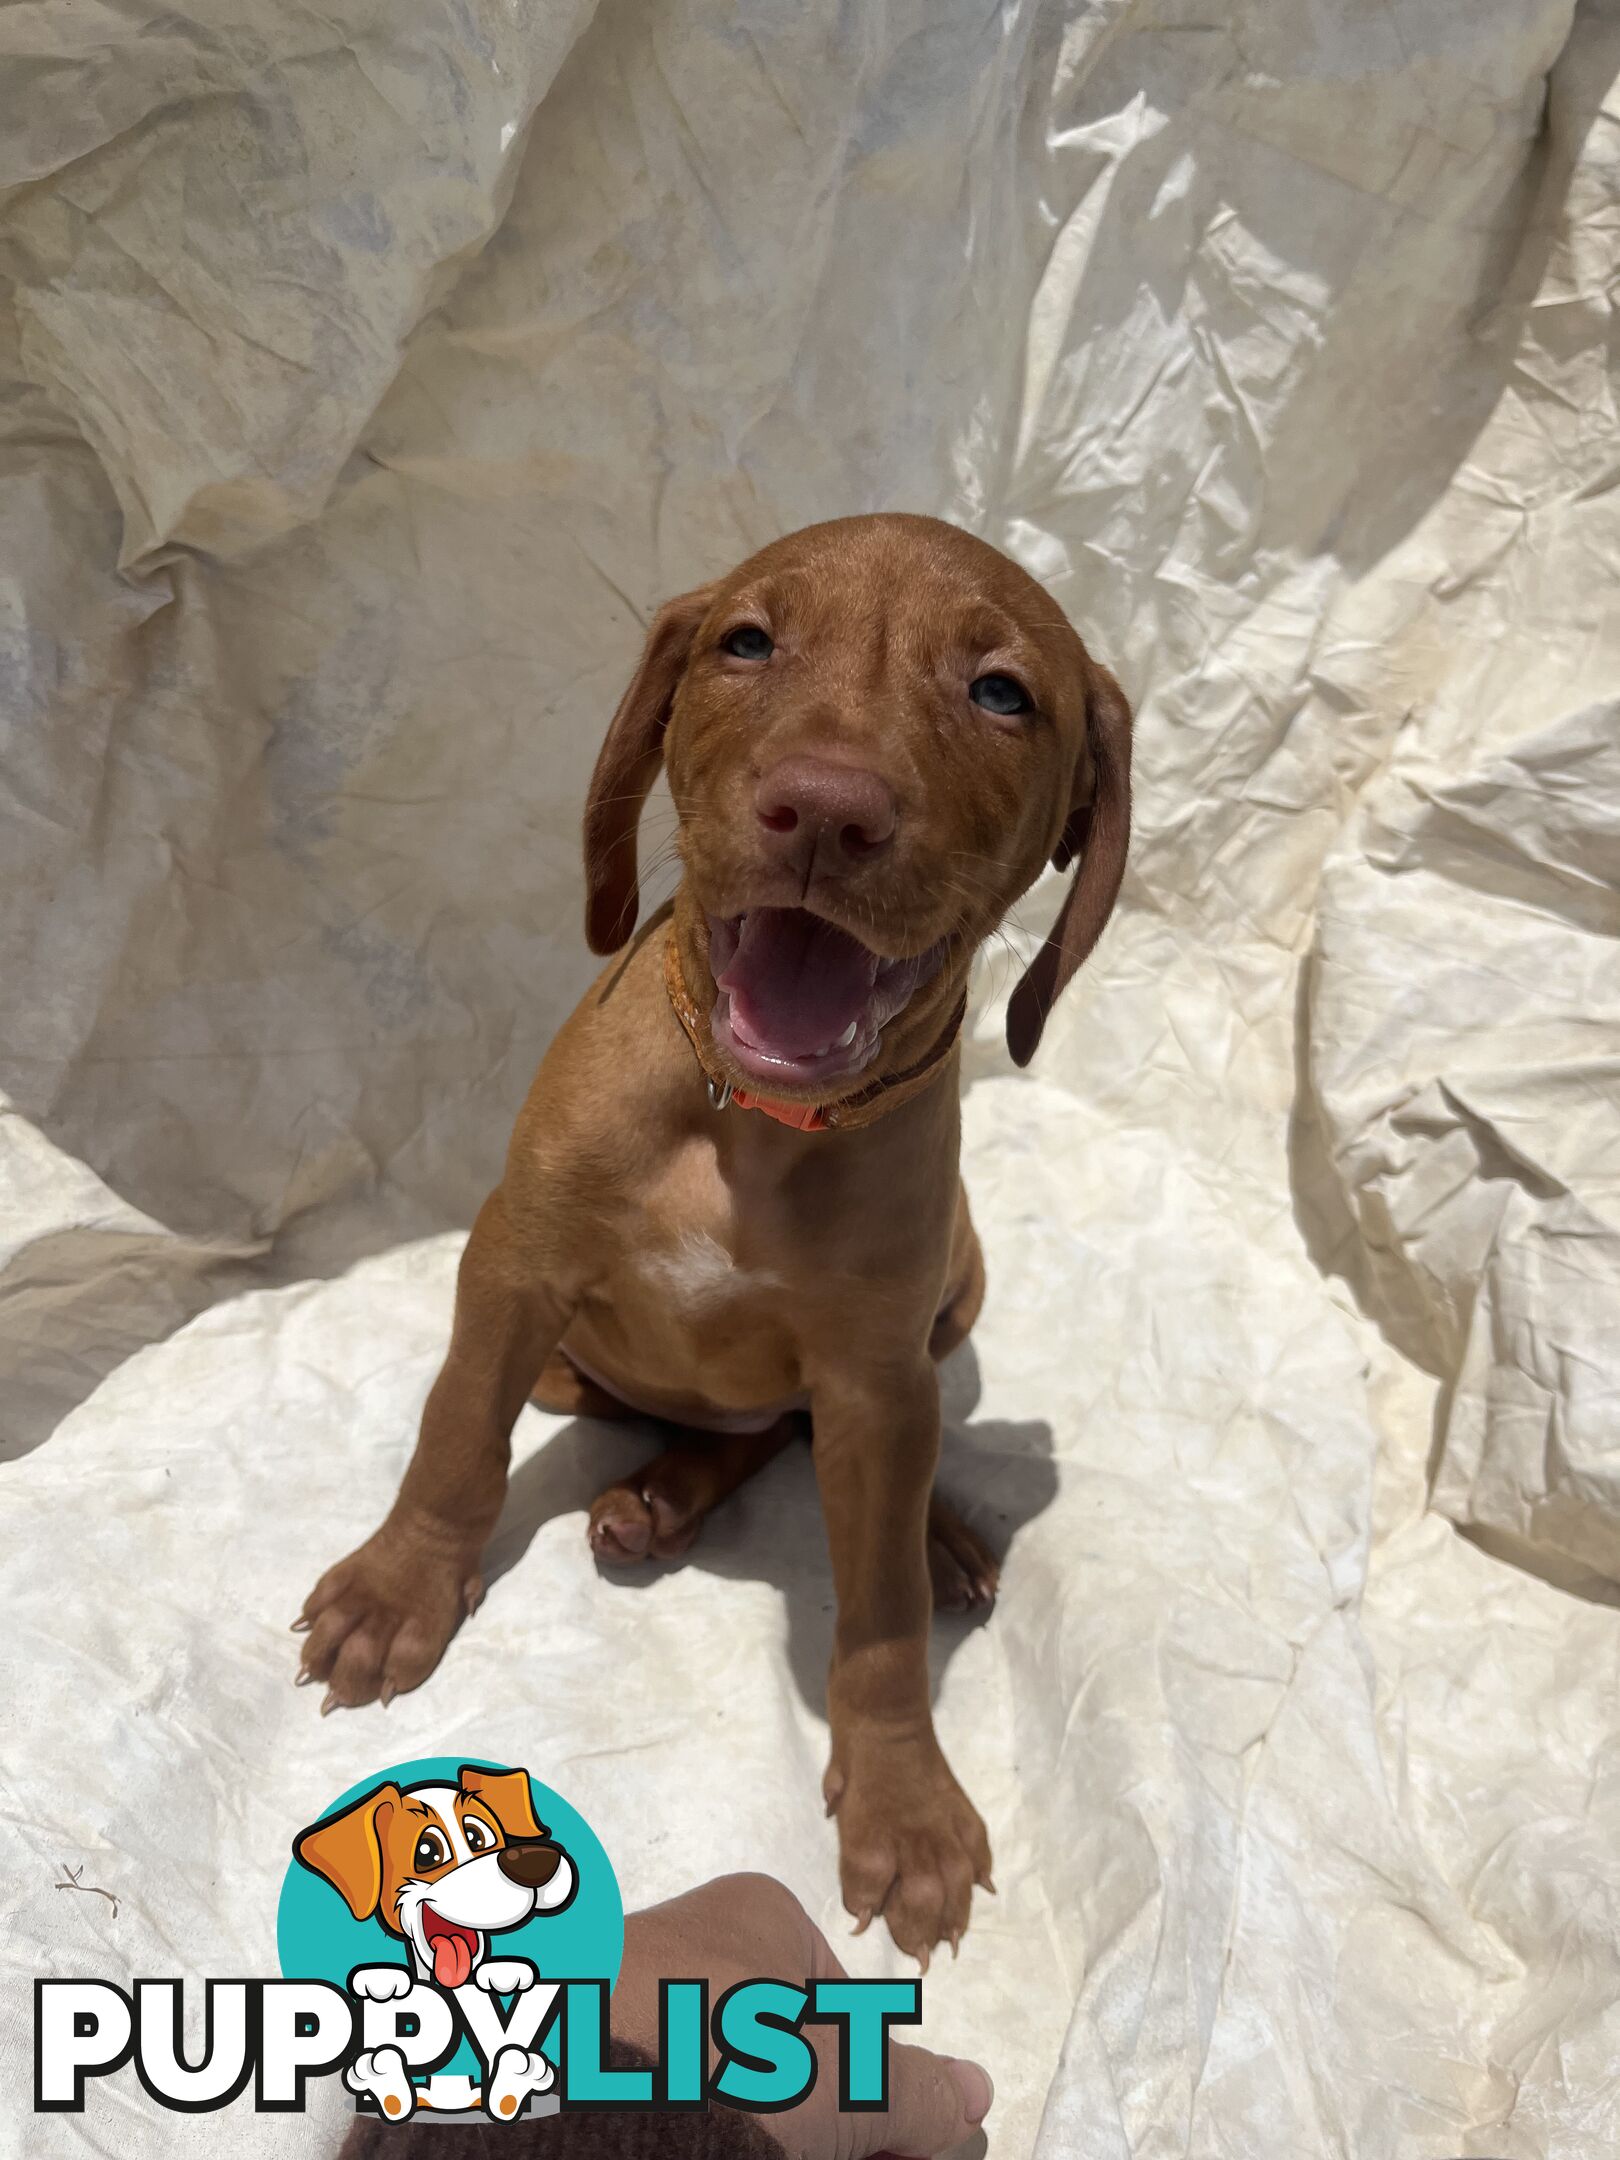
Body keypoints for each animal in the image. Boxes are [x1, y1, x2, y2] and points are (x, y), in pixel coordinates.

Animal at [298, 514, 1131, 1969]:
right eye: (747, 641)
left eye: (1001, 692)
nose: (828, 811)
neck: (748, 1120)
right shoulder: (512, 1263)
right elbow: (457, 1431)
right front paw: (397, 1593)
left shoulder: (875, 1377)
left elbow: (879, 1623)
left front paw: (904, 1802)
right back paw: (659, 1496)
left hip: (956, 1296)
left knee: (809, 1441)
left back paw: (908, 1531)